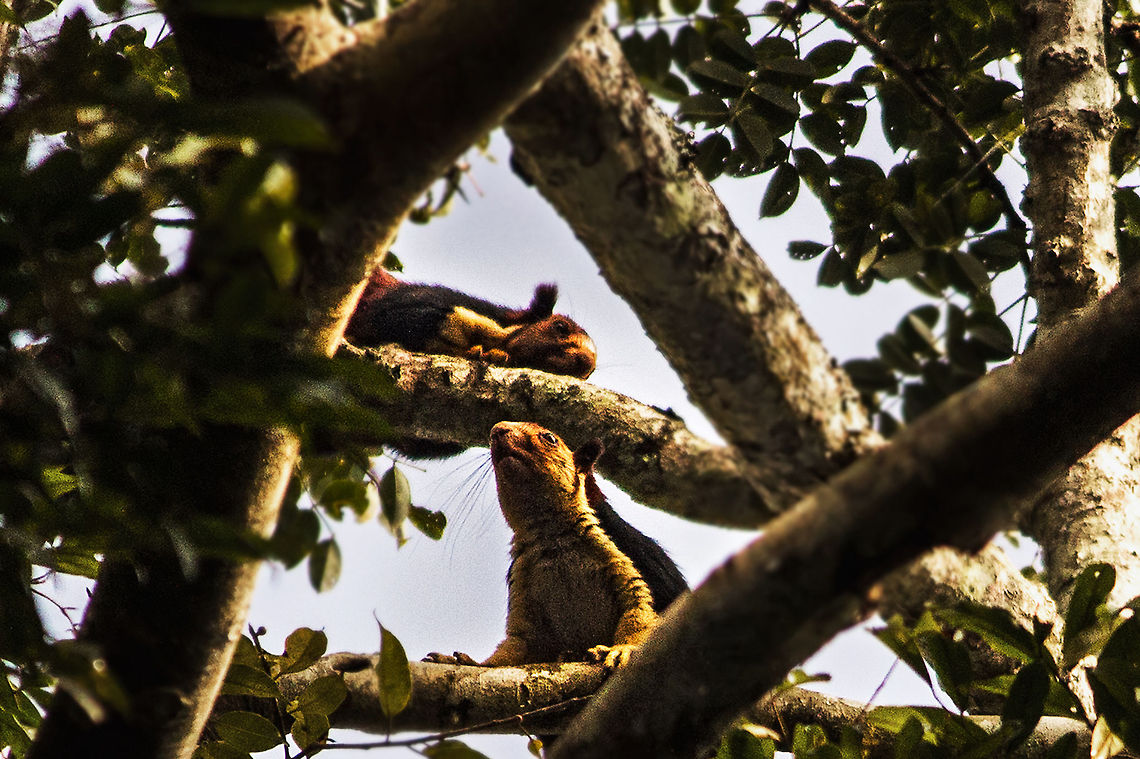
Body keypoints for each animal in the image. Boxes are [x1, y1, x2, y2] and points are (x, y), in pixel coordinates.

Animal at [429, 422, 686, 669]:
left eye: (550, 438)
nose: (497, 430)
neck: (551, 535)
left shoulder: (620, 561)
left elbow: (638, 610)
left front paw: (622, 649)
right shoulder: (521, 586)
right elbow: (513, 648)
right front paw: (464, 661)